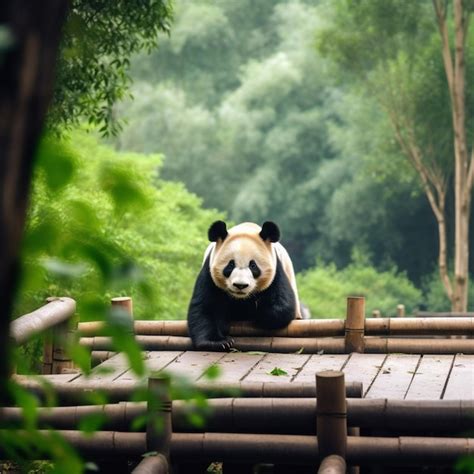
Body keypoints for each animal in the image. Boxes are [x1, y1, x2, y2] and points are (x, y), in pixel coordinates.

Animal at [187, 220, 302, 350]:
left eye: (253, 266)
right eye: (230, 265)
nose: (240, 285)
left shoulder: (276, 271)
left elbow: (282, 306)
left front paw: (257, 311)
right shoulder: (210, 271)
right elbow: (205, 307)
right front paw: (218, 342)